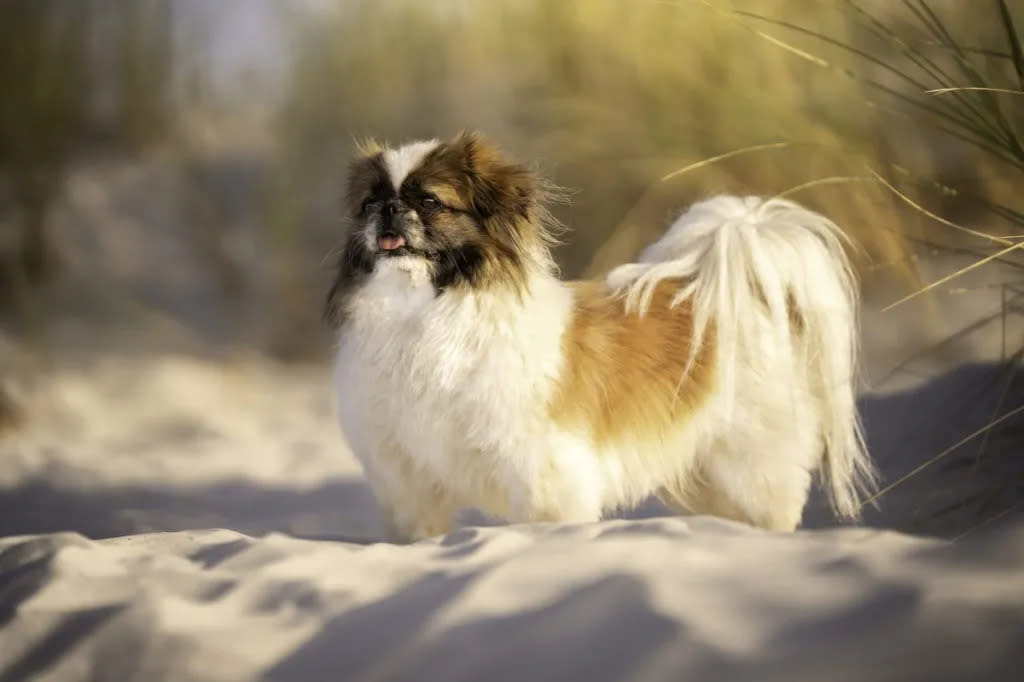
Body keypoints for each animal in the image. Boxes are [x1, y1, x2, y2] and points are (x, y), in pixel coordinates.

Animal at [323, 130, 876, 540]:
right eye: (370, 203)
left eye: (429, 201)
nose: (390, 210)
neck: (422, 314)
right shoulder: (408, 481)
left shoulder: (543, 474)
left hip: (751, 462)